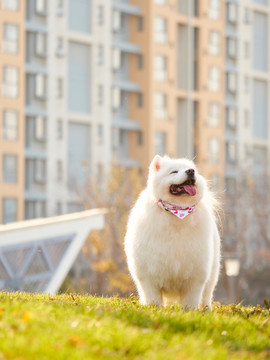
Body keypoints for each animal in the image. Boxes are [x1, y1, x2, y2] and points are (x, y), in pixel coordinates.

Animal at [125, 155, 220, 310]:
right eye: (174, 172)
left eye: (192, 169)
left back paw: (205, 310)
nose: (191, 171)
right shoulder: (149, 275)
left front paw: (189, 312)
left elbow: (191, 301)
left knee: (206, 296)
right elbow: (153, 298)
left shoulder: (195, 277)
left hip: (212, 274)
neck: (177, 212)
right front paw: (154, 309)